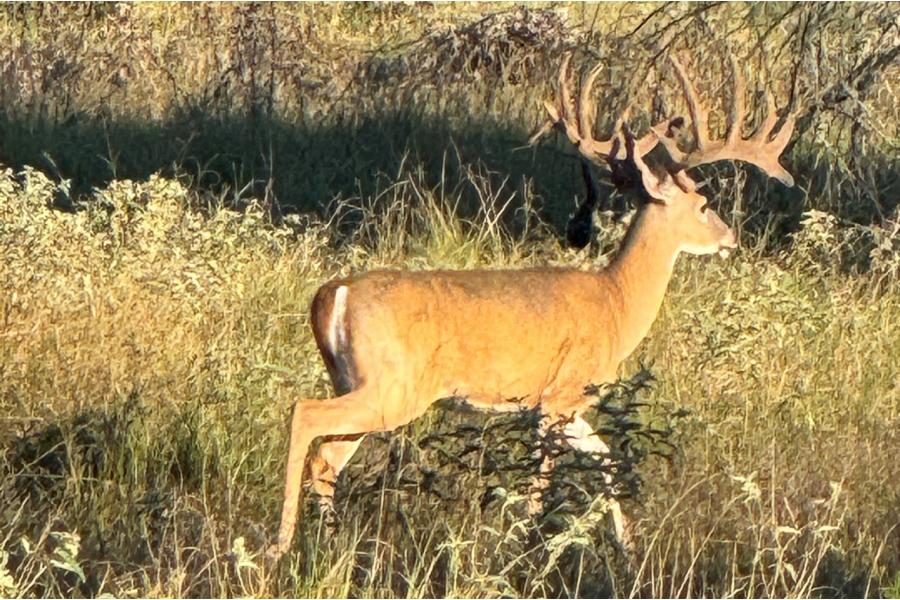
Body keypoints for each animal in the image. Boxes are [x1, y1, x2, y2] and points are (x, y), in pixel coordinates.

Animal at [268, 50, 796, 556]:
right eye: (704, 205)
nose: (730, 237)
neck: (617, 302)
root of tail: (334, 293)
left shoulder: (566, 404)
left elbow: (606, 458)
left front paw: (626, 548)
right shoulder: (558, 396)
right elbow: (543, 478)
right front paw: (523, 544)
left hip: (358, 381)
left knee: (325, 459)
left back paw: (330, 541)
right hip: (393, 386)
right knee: (304, 415)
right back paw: (280, 545)